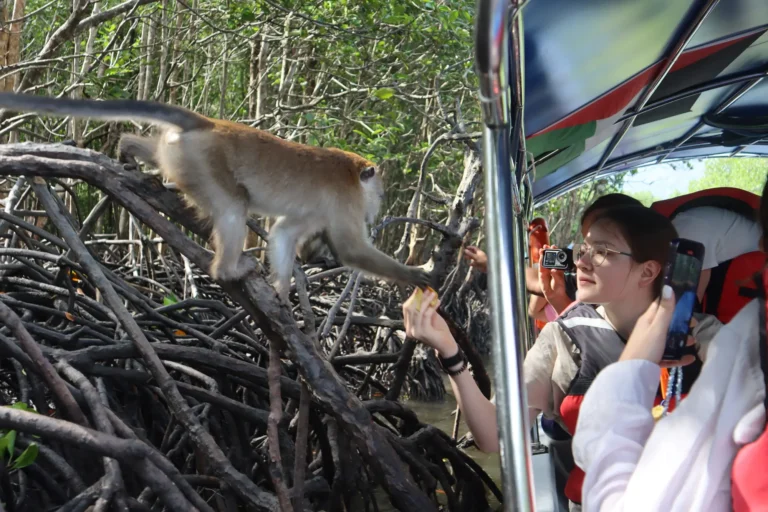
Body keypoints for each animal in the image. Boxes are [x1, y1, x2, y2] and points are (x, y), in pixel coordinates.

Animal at [0, 92, 434, 300]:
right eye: (379, 194)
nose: (378, 208)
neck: (351, 173)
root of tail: (209, 124)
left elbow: (283, 233)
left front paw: (282, 291)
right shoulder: (345, 200)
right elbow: (350, 250)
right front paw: (419, 274)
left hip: (180, 152)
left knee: (159, 155)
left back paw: (128, 150)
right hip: (205, 163)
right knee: (233, 208)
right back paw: (228, 270)